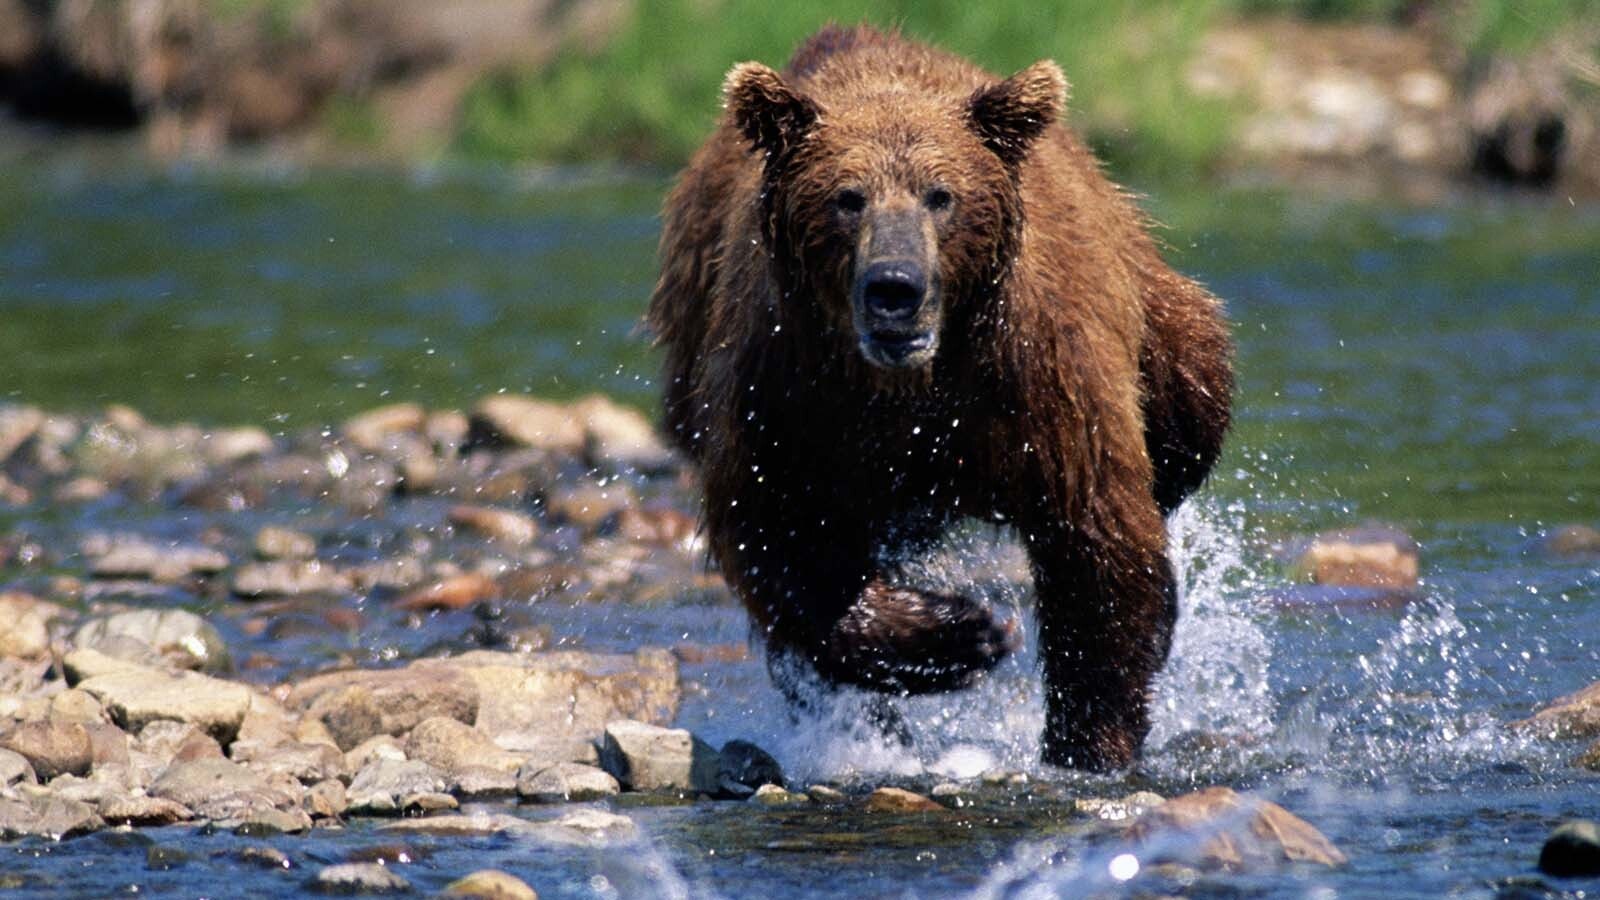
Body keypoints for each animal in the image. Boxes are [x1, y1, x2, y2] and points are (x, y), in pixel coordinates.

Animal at [648, 25, 1232, 771]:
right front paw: (961, 634)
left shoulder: (1043, 378)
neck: (914, 385)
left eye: (941, 195)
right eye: (848, 196)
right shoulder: (786, 389)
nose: (895, 287)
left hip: (1158, 320)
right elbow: (780, 536)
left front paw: (1088, 741)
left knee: (1192, 405)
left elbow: (1094, 541)